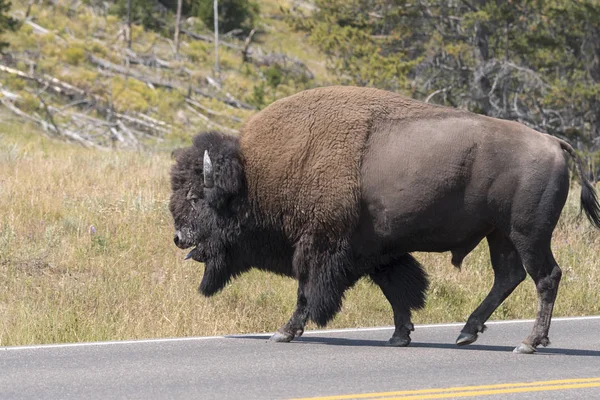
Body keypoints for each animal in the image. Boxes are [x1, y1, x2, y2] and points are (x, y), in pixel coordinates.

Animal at [169, 85, 600, 354]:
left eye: (196, 197)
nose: (179, 237)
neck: (256, 175)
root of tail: (554, 142)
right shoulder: (377, 251)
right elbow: (398, 289)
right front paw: (400, 336)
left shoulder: (319, 245)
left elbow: (307, 290)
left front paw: (283, 332)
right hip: (500, 235)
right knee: (509, 276)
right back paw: (466, 333)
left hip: (528, 233)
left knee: (546, 277)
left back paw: (527, 343)